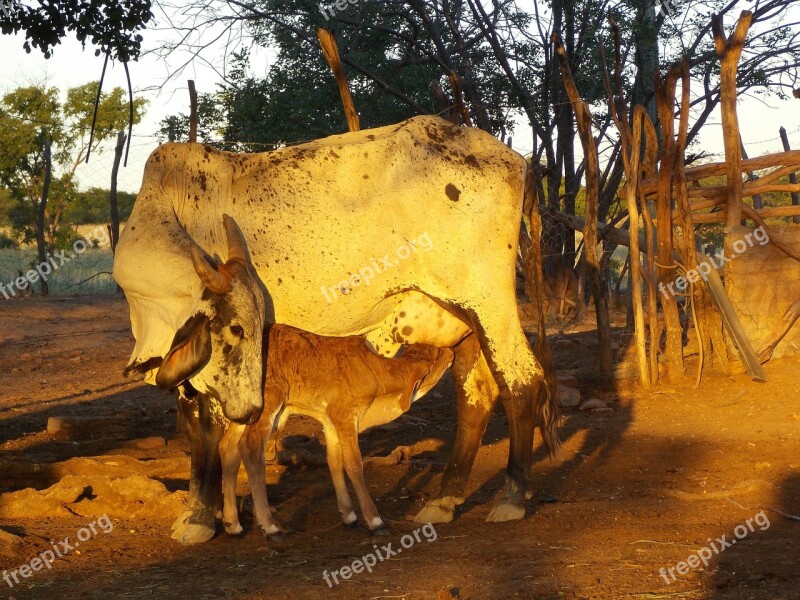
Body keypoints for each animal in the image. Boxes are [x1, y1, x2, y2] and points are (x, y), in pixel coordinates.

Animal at [219, 326, 456, 536]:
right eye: (436, 355)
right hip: (269, 402)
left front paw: (348, 515)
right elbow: (354, 464)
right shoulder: (345, 416)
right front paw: (375, 521)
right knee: (250, 447)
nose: (451, 352)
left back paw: (233, 524)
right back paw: (270, 527)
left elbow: (334, 460)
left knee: (227, 446)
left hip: (244, 411)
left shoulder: (329, 421)